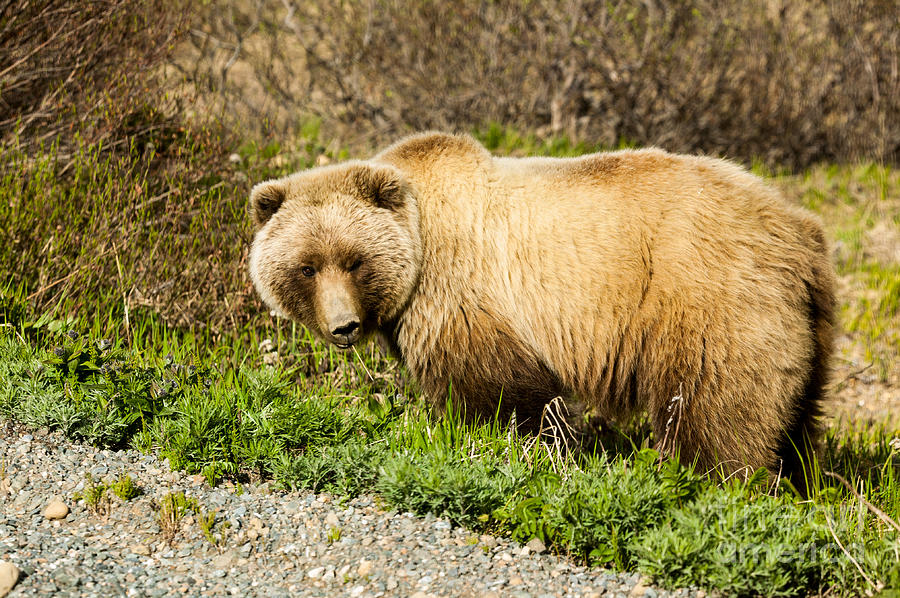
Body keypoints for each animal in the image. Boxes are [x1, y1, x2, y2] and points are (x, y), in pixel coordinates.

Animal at [248, 134, 836, 480]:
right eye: (307, 266)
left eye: (354, 261)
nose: (342, 326)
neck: (420, 241)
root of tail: (800, 231)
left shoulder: (463, 292)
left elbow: (506, 391)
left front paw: (526, 445)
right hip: (805, 328)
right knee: (795, 414)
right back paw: (798, 478)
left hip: (710, 299)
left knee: (713, 407)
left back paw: (708, 478)